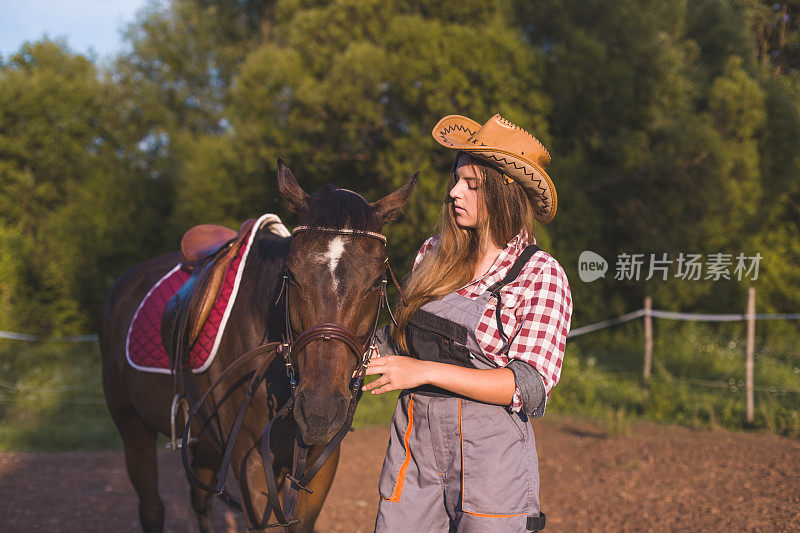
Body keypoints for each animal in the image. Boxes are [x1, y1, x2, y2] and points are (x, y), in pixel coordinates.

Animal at [100, 160, 418, 528]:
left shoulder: (320, 462)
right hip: (133, 429)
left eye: (376, 281)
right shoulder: (249, 464)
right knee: (152, 509)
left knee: (200, 501)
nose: (319, 411)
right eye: (292, 275)